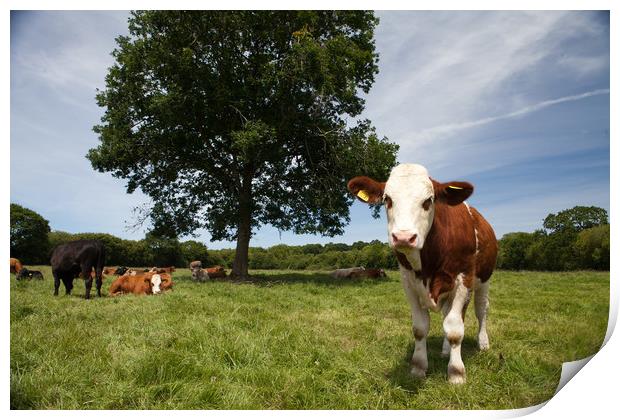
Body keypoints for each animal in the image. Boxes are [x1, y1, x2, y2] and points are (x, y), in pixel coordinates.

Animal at [348, 163, 498, 384]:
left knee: (481, 311)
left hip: (484, 279)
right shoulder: (408, 282)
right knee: (446, 315)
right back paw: (445, 350)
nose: (403, 237)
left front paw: (456, 373)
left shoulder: (464, 279)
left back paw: (483, 343)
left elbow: (455, 329)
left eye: (428, 200)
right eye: (387, 199)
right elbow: (420, 328)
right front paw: (418, 367)